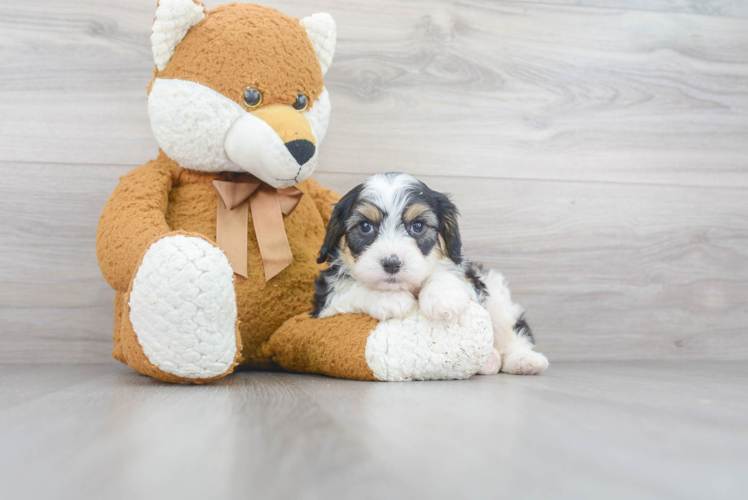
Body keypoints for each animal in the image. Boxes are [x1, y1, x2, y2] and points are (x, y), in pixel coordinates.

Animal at [310, 173, 548, 376]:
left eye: (418, 226)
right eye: (365, 226)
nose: (391, 263)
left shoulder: (472, 281)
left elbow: (447, 273)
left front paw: (442, 297)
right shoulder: (324, 303)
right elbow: (350, 289)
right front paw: (389, 298)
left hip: (498, 299)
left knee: (512, 329)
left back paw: (524, 360)